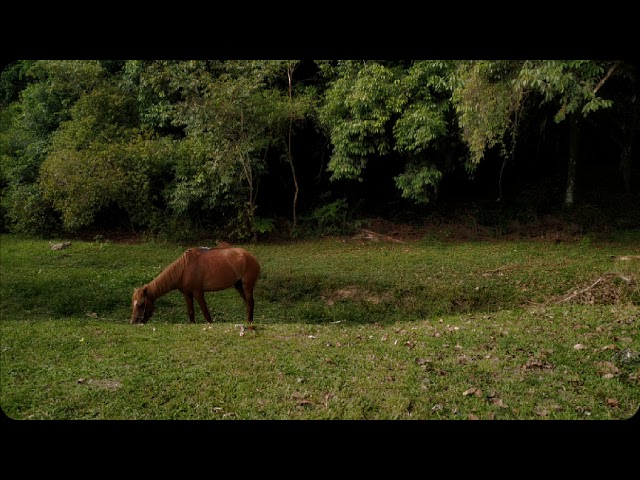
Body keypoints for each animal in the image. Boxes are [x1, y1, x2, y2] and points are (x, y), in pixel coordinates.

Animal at [130, 242, 260, 325]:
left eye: (141, 304)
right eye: (133, 303)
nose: (133, 322)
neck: (183, 270)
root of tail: (250, 257)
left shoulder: (198, 293)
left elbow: (205, 312)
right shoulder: (187, 294)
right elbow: (191, 312)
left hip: (247, 286)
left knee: (250, 302)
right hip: (239, 286)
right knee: (249, 303)